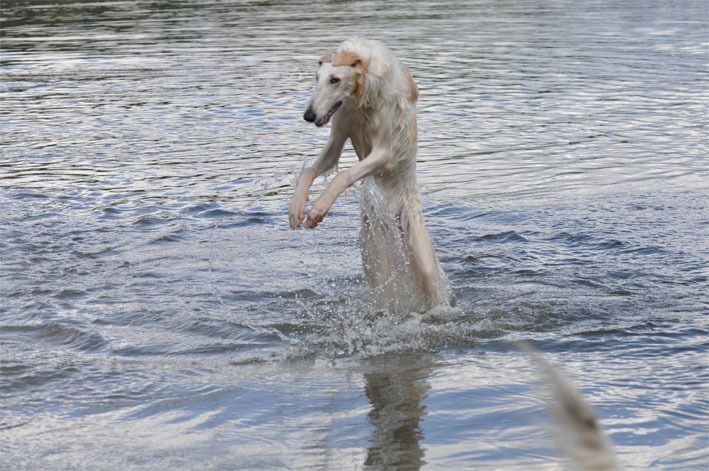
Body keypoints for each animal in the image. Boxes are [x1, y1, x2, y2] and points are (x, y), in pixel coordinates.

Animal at [288, 38, 448, 312]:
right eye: (316, 78)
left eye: (335, 80)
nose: (308, 116)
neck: (363, 96)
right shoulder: (337, 140)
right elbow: (309, 172)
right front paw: (297, 208)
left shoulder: (385, 153)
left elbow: (344, 174)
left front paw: (318, 209)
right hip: (373, 245)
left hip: (423, 260)